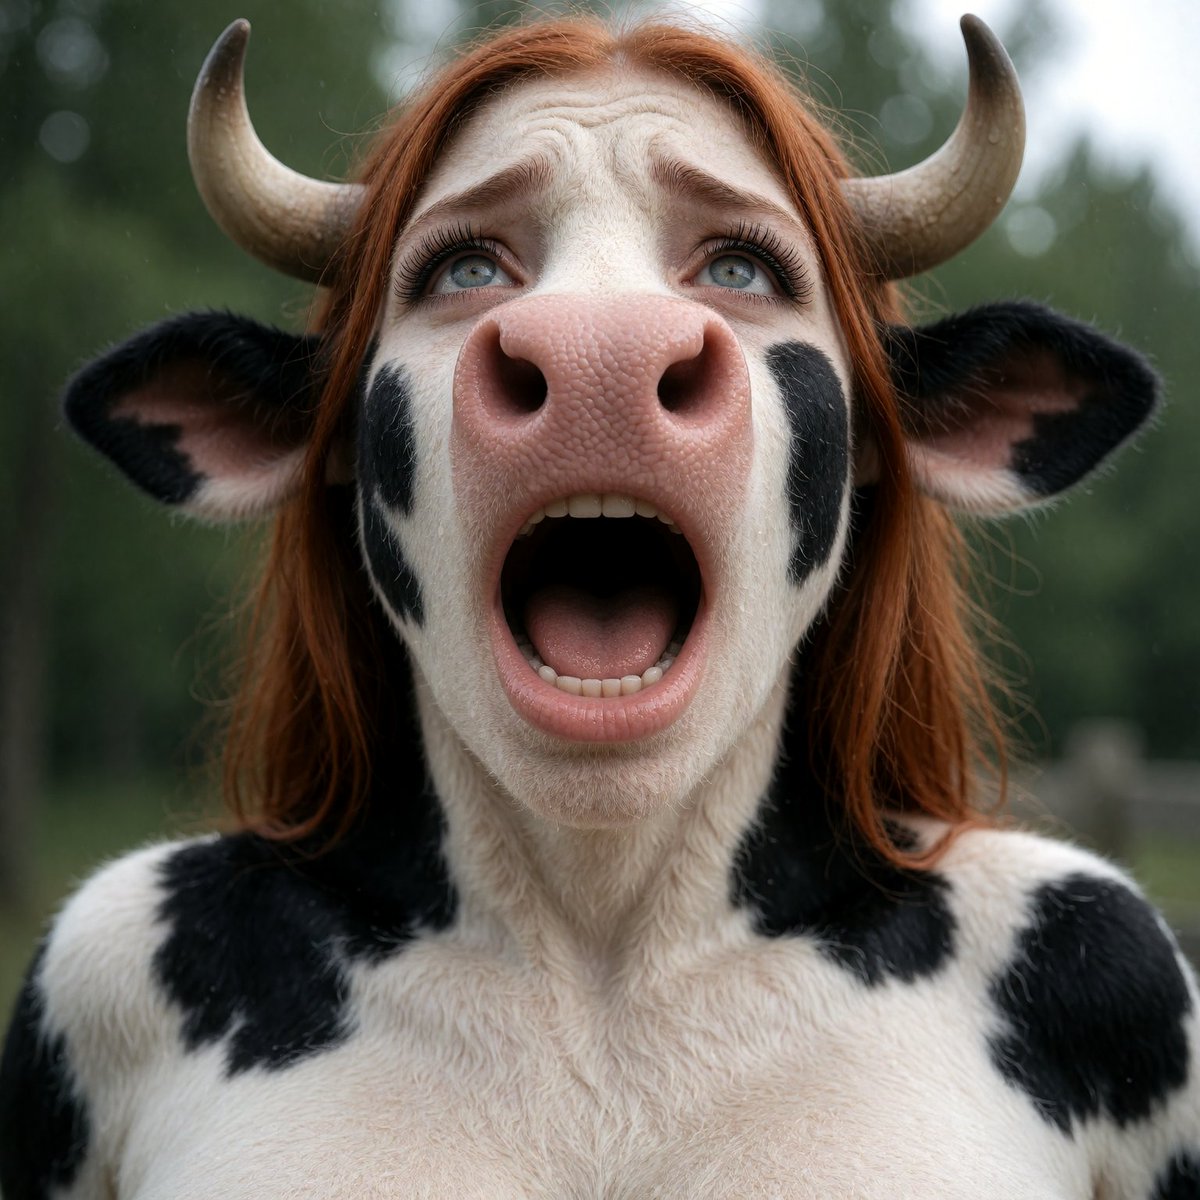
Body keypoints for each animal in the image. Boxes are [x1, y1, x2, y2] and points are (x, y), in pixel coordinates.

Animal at [2, 11, 1197, 1198]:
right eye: (470, 266)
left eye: (738, 267)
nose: (599, 359)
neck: (601, 952)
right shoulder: (90, 963)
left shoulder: (1123, 962)